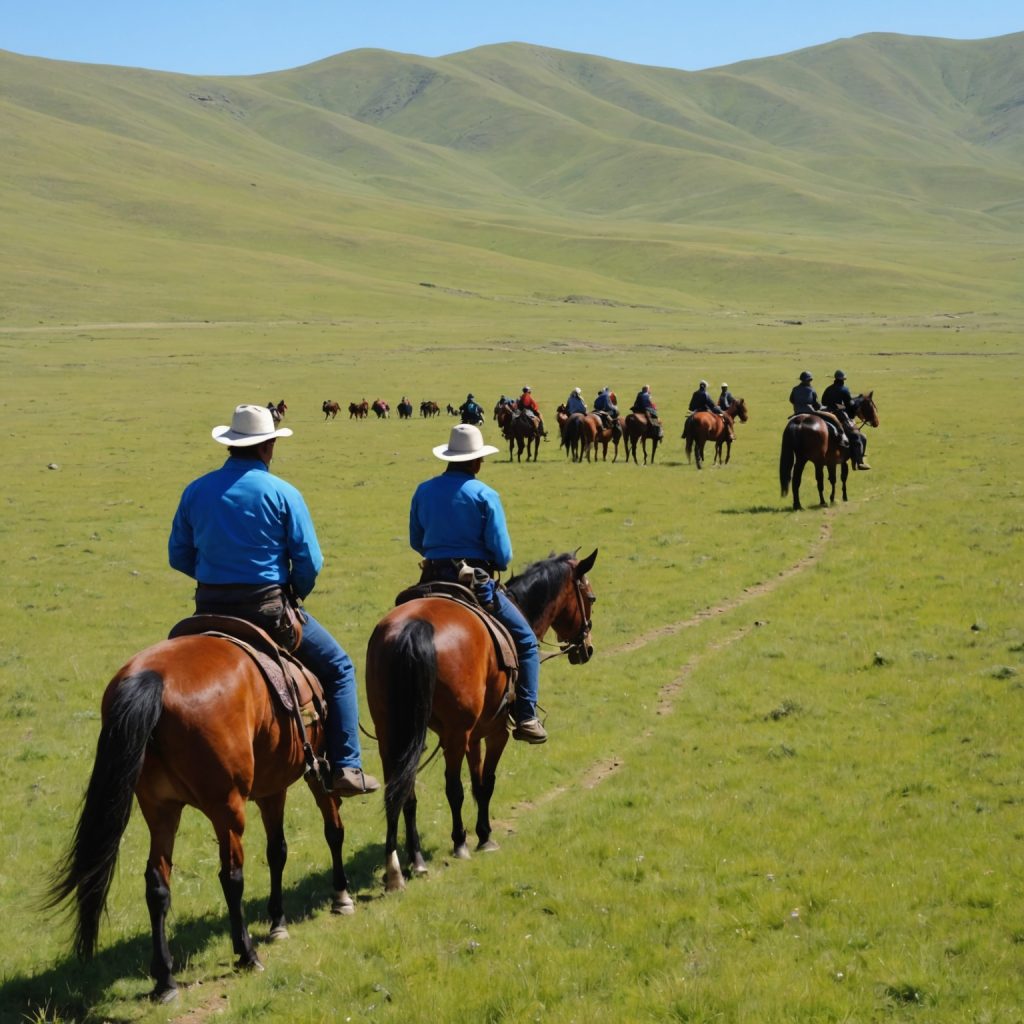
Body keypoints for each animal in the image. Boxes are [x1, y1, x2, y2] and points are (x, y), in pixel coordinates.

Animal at [44, 622, 354, 999]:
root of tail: (153, 678)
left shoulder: (272, 788)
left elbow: (277, 851)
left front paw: (278, 921)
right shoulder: (311, 771)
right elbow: (326, 832)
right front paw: (340, 896)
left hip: (160, 809)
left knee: (157, 883)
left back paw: (165, 980)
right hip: (227, 807)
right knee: (231, 876)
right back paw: (247, 954)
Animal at [364, 548, 598, 892]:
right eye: (590, 597)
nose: (586, 648)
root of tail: (414, 626)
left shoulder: (473, 736)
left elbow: (475, 781)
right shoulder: (494, 730)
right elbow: (485, 783)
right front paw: (484, 837)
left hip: (391, 734)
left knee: (402, 791)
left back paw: (404, 866)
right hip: (453, 733)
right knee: (451, 787)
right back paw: (458, 844)